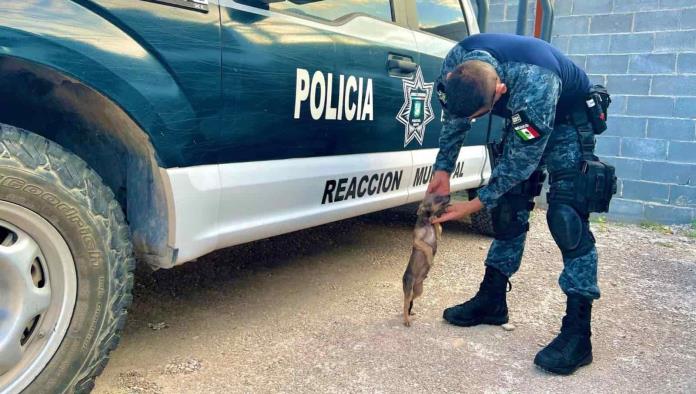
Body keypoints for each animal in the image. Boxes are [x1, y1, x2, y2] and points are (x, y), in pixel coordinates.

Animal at [402, 194, 452, 326]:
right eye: (437, 198)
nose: (449, 195)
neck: (427, 223)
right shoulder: (417, 241)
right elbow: (428, 247)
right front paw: (431, 260)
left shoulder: (438, 235)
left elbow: (437, 226)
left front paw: (434, 218)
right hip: (409, 287)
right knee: (405, 303)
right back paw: (406, 319)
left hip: (419, 290)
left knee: (411, 300)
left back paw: (410, 311)